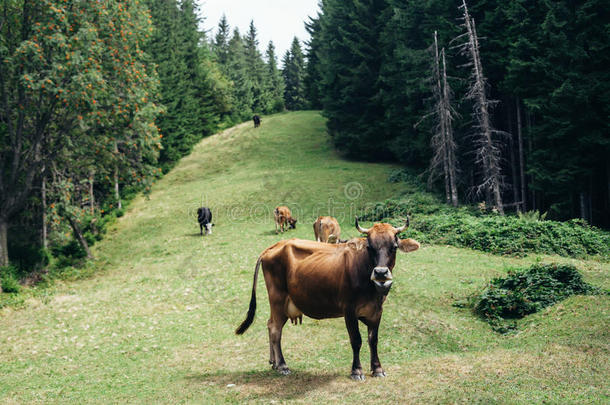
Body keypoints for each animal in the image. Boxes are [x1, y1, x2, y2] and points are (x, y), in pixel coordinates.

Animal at [235, 216, 420, 378]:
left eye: (394, 246)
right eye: (369, 247)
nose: (381, 272)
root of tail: (274, 246)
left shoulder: (377, 311)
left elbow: (373, 340)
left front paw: (377, 369)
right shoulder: (349, 310)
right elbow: (356, 340)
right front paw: (357, 371)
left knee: (270, 324)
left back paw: (273, 362)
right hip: (277, 298)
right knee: (275, 329)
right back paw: (282, 365)